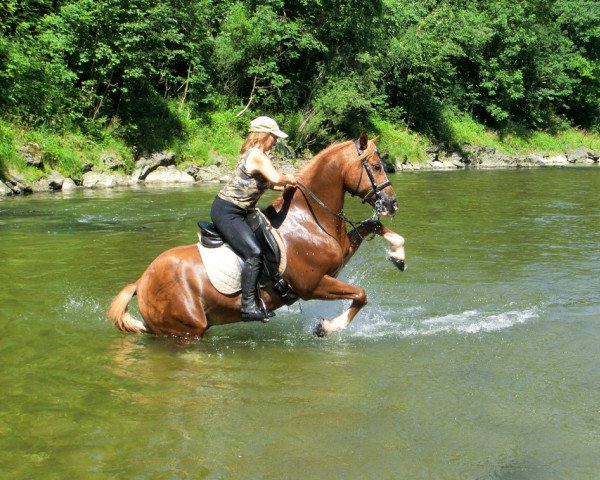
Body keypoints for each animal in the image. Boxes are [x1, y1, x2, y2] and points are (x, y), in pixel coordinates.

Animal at [108, 132, 408, 338]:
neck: (310, 219)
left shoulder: (341, 256)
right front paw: (327, 326)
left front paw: (398, 255)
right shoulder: (312, 285)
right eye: (376, 166)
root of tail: (141, 282)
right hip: (186, 331)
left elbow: (372, 226)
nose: (392, 204)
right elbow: (361, 294)